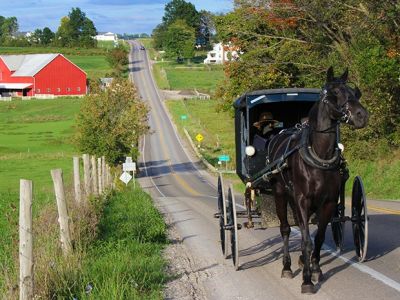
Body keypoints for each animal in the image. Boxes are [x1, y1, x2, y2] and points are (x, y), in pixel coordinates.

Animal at [268, 67, 370, 292]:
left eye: (354, 92)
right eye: (335, 93)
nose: (362, 115)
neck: (319, 155)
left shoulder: (329, 202)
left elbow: (319, 237)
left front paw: (315, 268)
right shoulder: (302, 199)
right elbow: (306, 239)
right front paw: (306, 280)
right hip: (280, 193)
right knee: (286, 229)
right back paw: (287, 266)